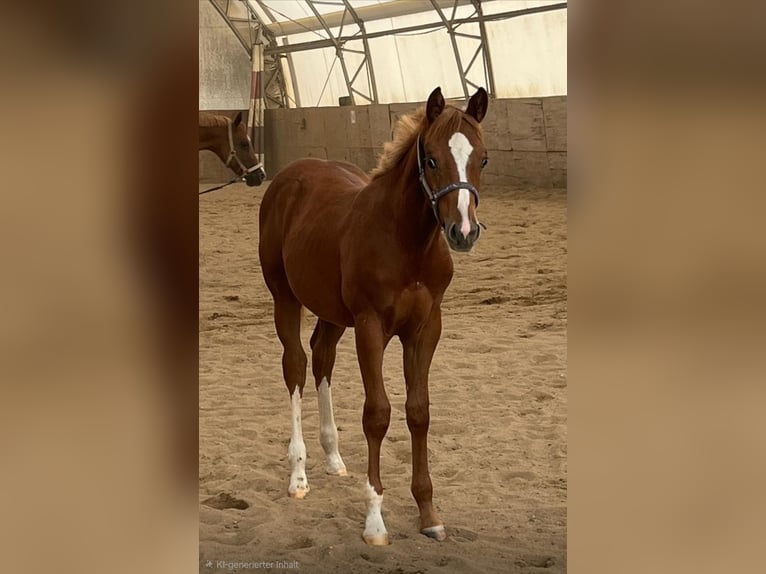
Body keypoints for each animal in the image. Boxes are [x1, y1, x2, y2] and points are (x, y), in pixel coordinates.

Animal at [258, 86, 488, 545]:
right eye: (431, 159)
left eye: (483, 158)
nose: (463, 232)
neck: (407, 243)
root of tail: (289, 176)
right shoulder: (370, 327)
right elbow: (377, 414)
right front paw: (375, 521)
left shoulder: (425, 328)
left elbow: (419, 412)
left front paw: (429, 514)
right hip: (285, 298)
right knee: (296, 364)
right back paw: (299, 475)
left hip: (330, 311)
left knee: (322, 356)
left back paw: (333, 457)